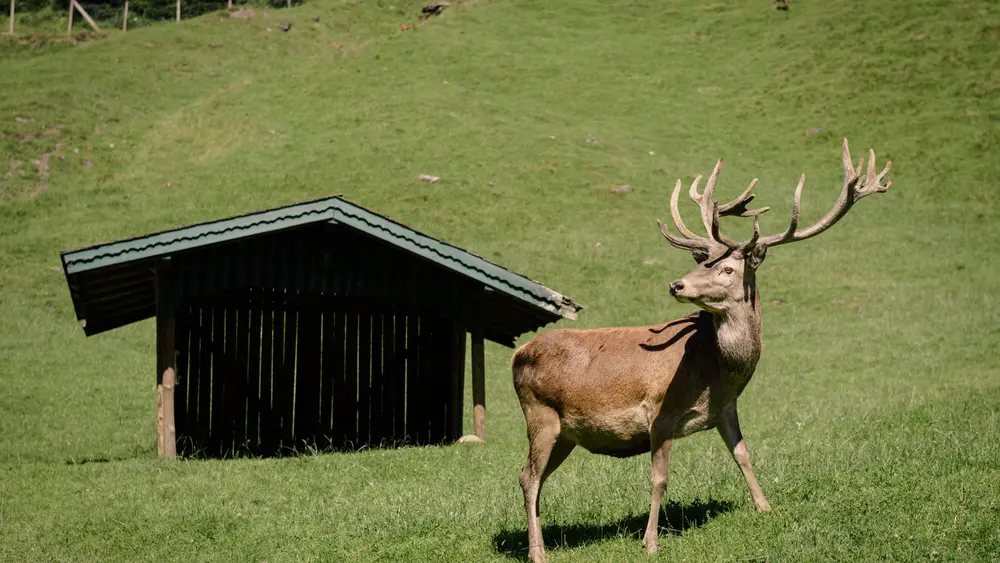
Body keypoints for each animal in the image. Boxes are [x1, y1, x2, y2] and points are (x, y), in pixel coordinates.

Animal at [512, 139, 892, 563]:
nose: (676, 284)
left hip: (566, 433)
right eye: (704, 262)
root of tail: (516, 356)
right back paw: (537, 552)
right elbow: (659, 479)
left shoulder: (726, 407)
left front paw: (765, 507)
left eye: (726, 269)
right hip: (540, 414)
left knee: (535, 476)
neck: (716, 370)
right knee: (528, 477)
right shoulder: (659, 412)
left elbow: (743, 454)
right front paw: (651, 541)